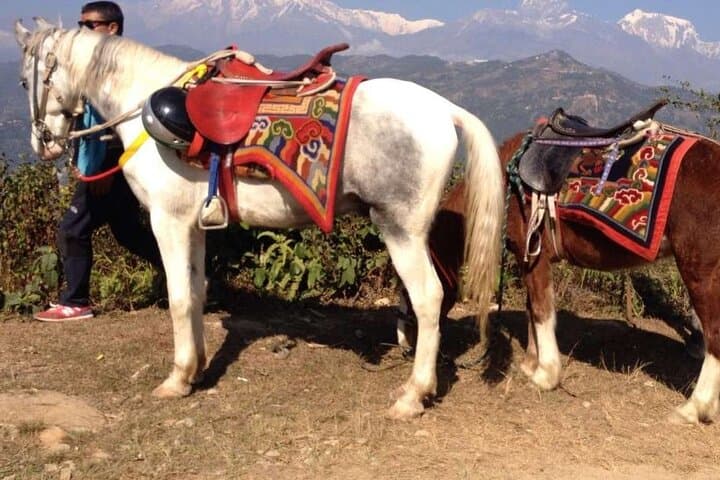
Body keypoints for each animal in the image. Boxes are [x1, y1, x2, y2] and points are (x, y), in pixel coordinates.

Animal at [14, 19, 504, 419]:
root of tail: (445, 110)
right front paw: (197, 368)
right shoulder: (193, 226)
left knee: (428, 298)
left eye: (22, 80)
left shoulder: (167, 222)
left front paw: (177, 378)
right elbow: (196, 291)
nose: (43, 145)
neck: (143, 105)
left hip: (400, 230)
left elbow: (178, 298)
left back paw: (414, 394)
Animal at [410, 129, 720, 424]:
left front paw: (545, 374)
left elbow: (541, 310)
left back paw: (694, 408)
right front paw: (531, 363)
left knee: (713, 335)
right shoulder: (527, 258)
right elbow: (532, 308)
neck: (507, 178)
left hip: (700, 272)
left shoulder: (535, 254)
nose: (407, 343)